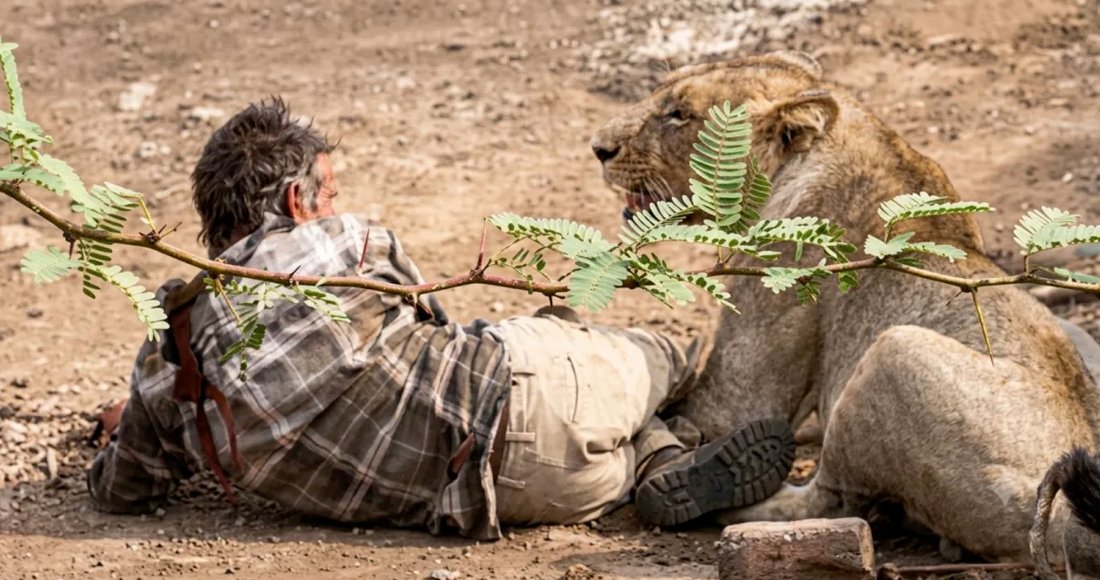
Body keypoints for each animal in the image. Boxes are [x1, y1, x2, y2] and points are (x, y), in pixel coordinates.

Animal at [590, 51, 1100, 563]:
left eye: (679, 114)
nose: (598, 148)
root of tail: (1063, 523)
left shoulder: (751, 358)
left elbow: (714, 409)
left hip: (893, 352)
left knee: (830, 500)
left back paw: (706, 488)